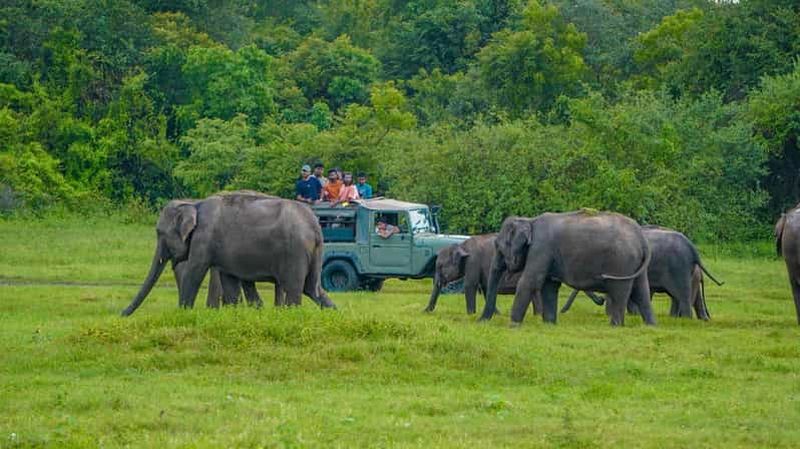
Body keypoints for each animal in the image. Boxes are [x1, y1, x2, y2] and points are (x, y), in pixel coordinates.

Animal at [121, 191, 336, 316]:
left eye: (159, 232)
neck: (194, 204)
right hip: (311, 254)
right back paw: (334, 314)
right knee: (312, 288)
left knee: (294, 288)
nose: (122, 314)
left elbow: (194, 271)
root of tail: (315, 226)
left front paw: (183, 314)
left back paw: (291, 315)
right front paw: (232, 314)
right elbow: (229, 279)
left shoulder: (204, 237)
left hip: (294, 252)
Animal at [479, 211, 655, 326]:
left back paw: (615, 326)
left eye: (499, 246)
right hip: (634, 262)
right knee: (641, 290)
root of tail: (641, 237)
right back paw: (650, 325)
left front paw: (513, 326)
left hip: (621, 262)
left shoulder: (541, 248)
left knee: (620, 290)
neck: (529, 220)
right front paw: (549, 324)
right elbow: (549, 286)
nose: (480, 322)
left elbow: (530, 281)